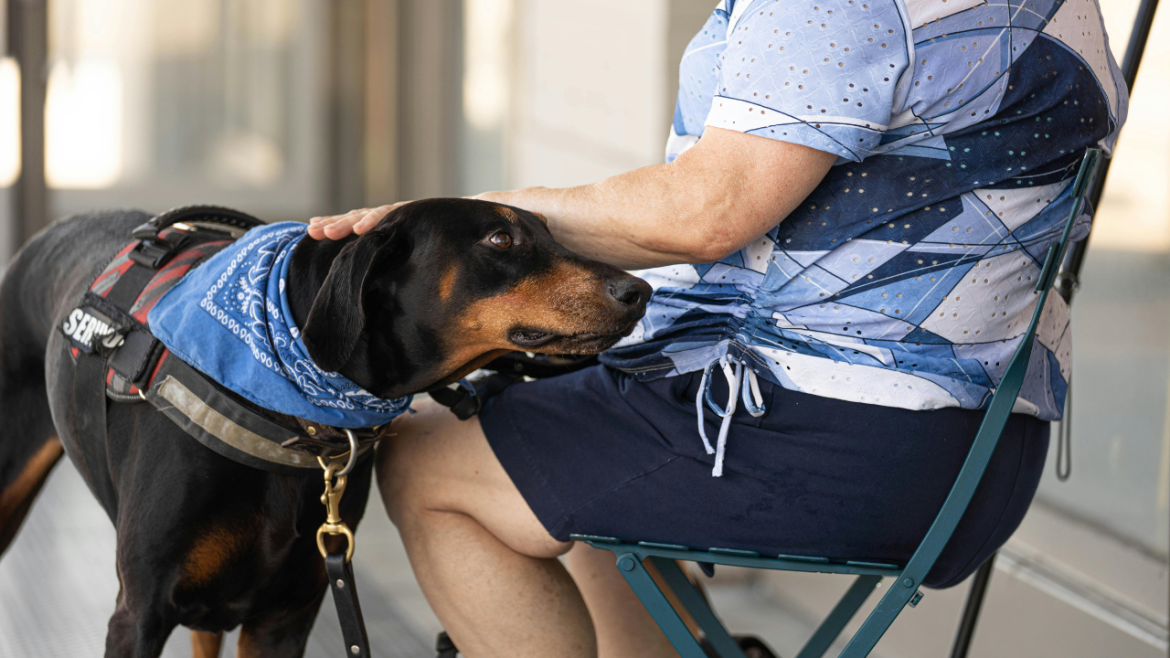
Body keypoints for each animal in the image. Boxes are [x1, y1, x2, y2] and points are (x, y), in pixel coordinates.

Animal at [0, 199, 650, 655]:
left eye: (553, 233)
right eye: (500, 238)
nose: (639, 290)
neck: (289, 408)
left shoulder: (285, 616)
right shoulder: (139, 615)